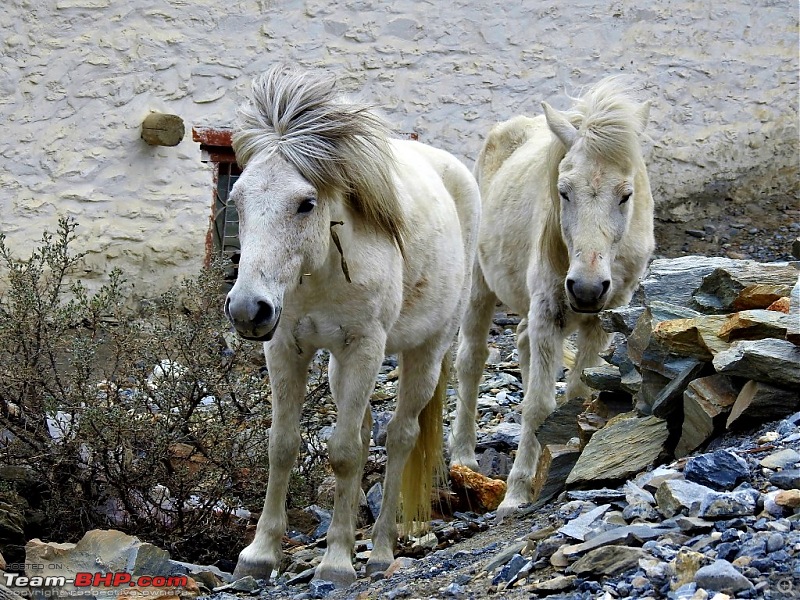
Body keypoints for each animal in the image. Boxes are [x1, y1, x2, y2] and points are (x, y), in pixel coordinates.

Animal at [222, 67, 478, 584]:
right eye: (236, 200)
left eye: (306, 203)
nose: (247, 309)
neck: (320, 270)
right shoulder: (285, 348)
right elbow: (282, 445)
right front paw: (259, 554)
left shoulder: (364, 348)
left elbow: (343, 453)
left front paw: (337, 562)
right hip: (338, 367)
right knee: (362, 433)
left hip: (425, 351)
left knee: (400, 437)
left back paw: (379, 549)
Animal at [450, 76, 656, 516]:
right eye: (564, 192)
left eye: (626, 194)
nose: (587, 287)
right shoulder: (549, 313)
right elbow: (539, 406)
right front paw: (515, 494)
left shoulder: (601, 321)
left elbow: (578, 394)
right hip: (479, 286)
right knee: (471, 360)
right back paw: (463, 456)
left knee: (523, 342)